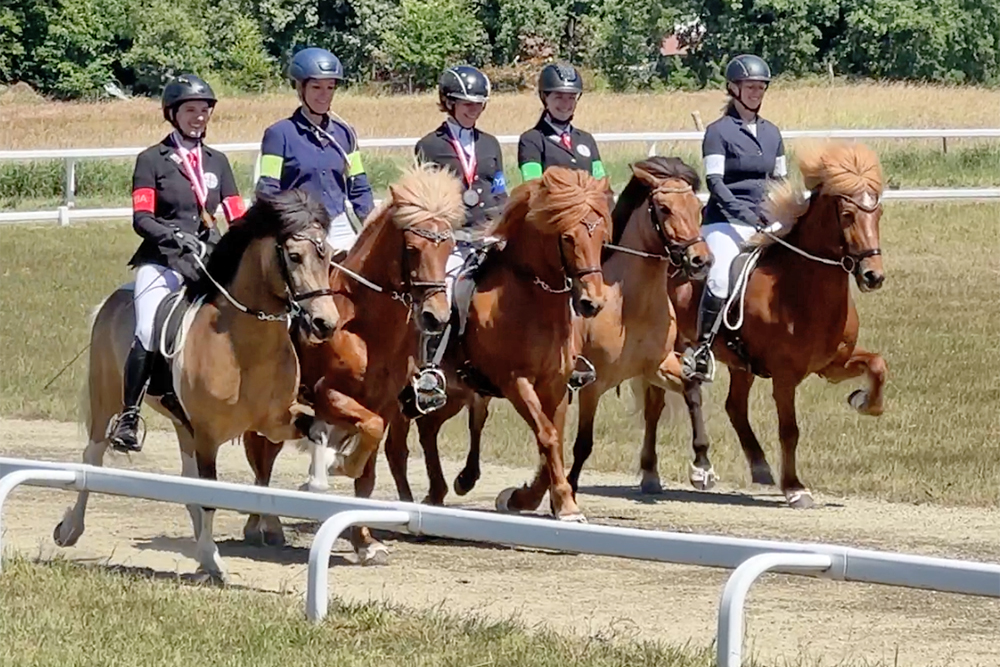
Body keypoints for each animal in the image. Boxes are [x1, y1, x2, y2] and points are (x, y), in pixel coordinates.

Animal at [55, 189, 344, 584]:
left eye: (328, 253)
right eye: (295, 256)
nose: (324, 324)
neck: (245, 346)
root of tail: (114, 299)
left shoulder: (274, 422)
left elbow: (318, 430)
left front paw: (318, 481)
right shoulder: (209, 435)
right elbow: (209, 497)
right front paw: (214, 562)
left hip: (182, 424)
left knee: (185, 480)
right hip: (108, 400)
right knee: (92, 458)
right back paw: (70, 529)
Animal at [242, 163, 464, 564]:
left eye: (449, 246)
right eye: (412, 248)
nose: (436, 317)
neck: (366, 326)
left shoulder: (386, 405)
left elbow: (369, 470)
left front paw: (366, 542)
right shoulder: (328, 396)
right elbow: (366, 434)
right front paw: (340, 464)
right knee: (262, 458)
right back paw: (260, 525)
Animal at [386, 166, 612, 520]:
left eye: (602, 237)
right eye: (567, 237)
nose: (592, 302)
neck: (531, 297)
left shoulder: (555, 383)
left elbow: (554, 438)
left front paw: (530, 498)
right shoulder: (515, 381)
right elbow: (547, 435)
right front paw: (563, 503)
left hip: (452, 393)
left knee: (429, 428)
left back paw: (443, 489)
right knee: (397, 445)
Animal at [636, 140, 888, 506]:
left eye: (878, 213)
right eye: (847, 215)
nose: (873, 276)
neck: (800, 285)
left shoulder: (833, 365)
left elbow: (878, 366)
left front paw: (863, 401)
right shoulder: (785, 375)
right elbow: (789, 430)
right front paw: (795, 488)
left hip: (741, 364)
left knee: (734, 406)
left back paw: (759, 466)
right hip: (672, 349)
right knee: (659, 404)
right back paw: (661, 472)